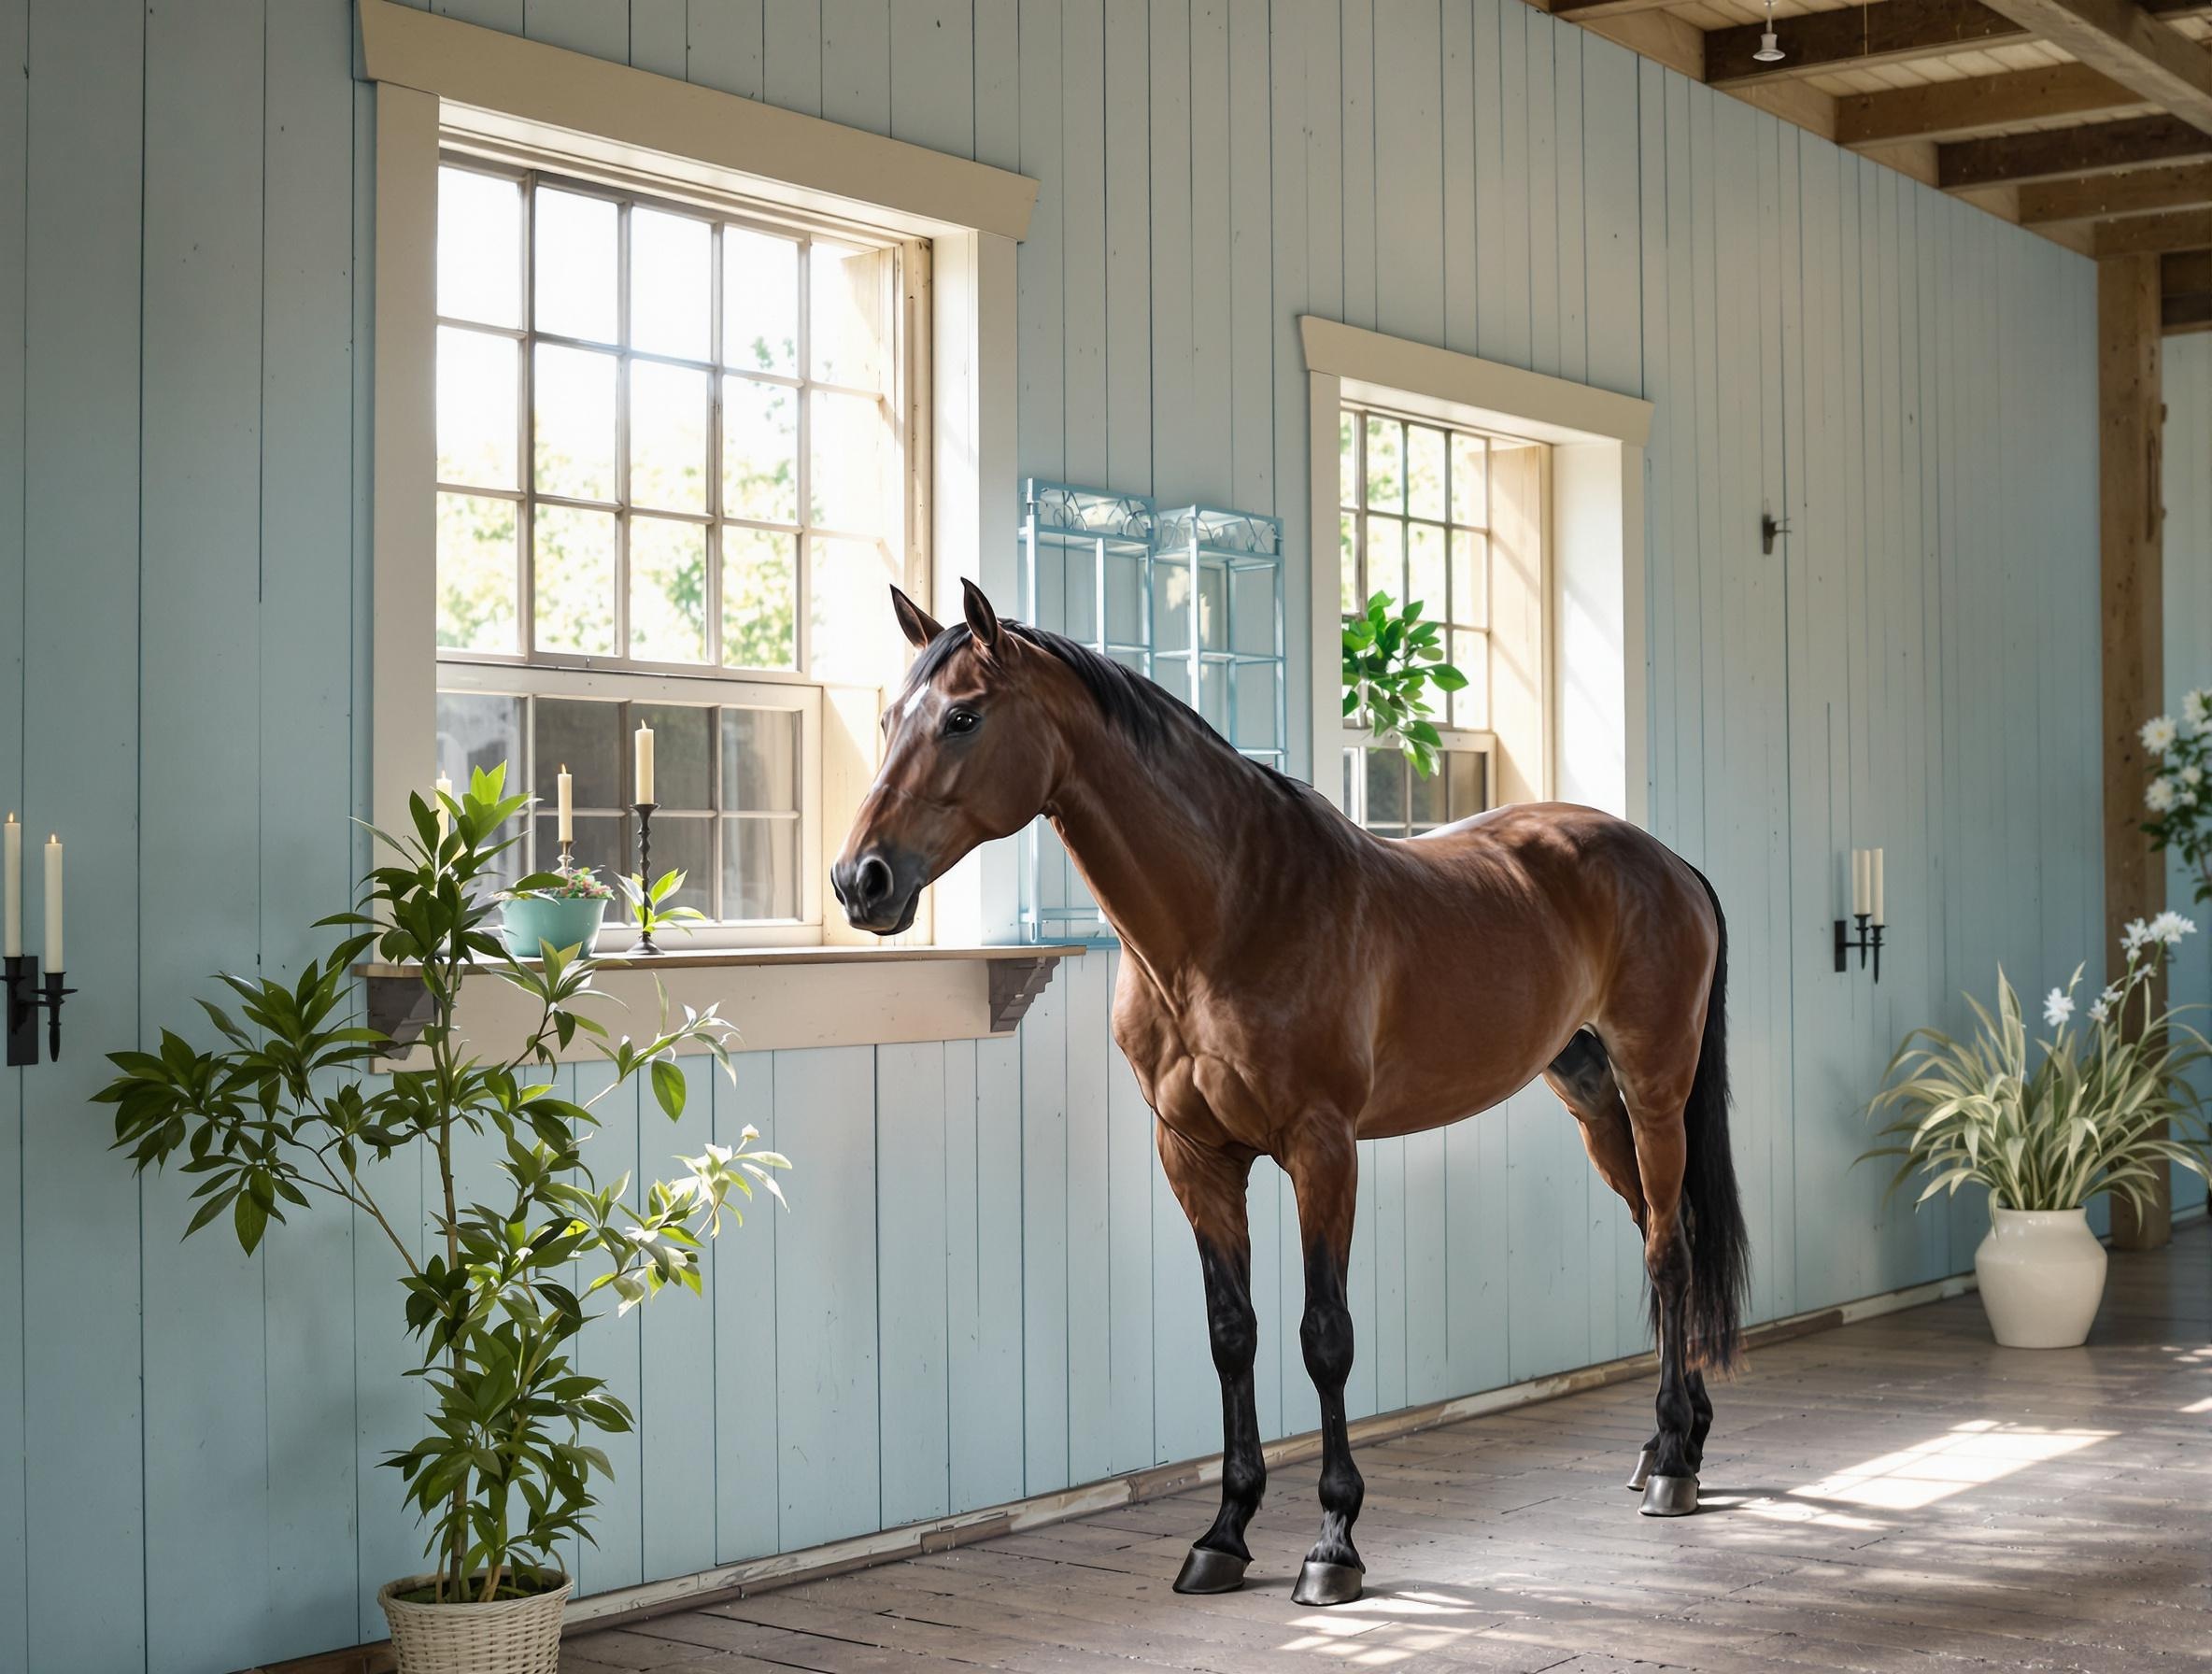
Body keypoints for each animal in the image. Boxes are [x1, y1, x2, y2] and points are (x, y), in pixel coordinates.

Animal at [831, 579, 1742, 1610]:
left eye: (964, 716)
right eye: (888, 719)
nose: (860, 880)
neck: (1229, 913)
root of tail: (1666, 861)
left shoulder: (1321, 1148)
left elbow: (1323, 1335)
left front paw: (1333, 1544)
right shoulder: (1194, 1156)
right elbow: (1234, 1334)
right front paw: (1224, 1534)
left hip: (1655, 1090)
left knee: (1669, 1251)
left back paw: (1675, 1468)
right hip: (1590, 1100)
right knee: (1661, 1235)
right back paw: (1672, 1444)